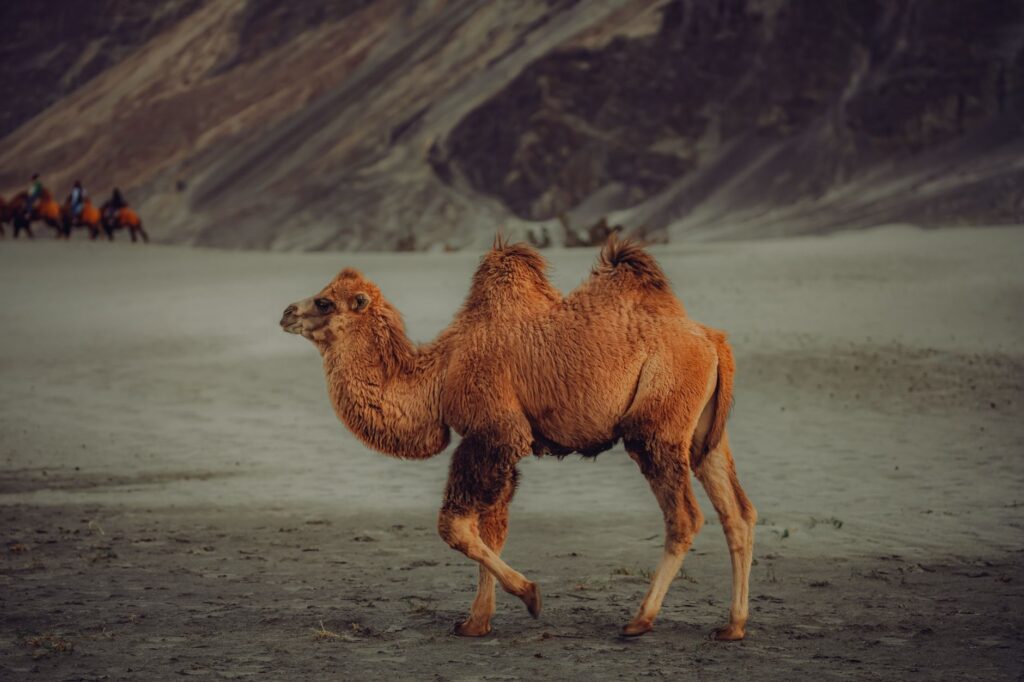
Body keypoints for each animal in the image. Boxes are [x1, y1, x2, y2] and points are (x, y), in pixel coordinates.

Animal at [279, 236, 756, 639]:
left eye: (324, 301)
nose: (285, 313)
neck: (439, 375)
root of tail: (715, 342)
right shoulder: (497, 447)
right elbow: (492, 529)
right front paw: (477, 622)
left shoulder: (495, 432)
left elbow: (455, 526)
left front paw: (530, 595)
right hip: (704, 435)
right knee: (738, 512)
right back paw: (732, 626)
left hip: (658, 424)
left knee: (685, 517)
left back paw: (640, 620)